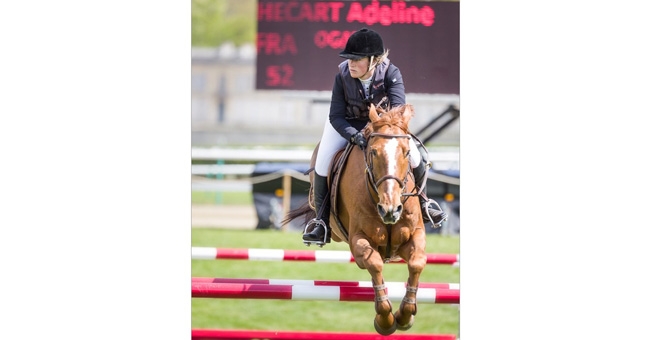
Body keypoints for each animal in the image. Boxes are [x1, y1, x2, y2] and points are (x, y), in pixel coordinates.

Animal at [282, 103, 428, 334]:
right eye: (373, 152)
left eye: (406, 152)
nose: (390, 210)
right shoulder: (358, 241)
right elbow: (374, 263)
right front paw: (385, 320)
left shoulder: (414, 236)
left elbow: (417, 262)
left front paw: (405, 315)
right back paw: (317, 230)